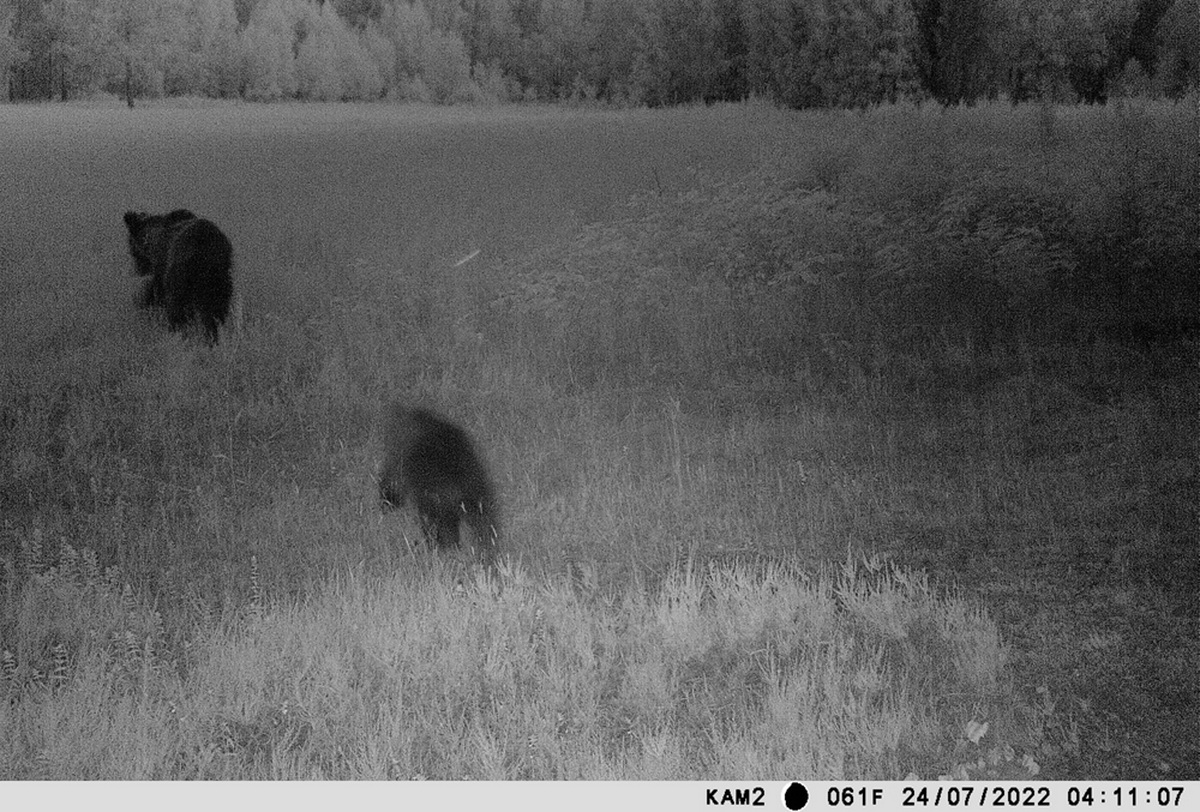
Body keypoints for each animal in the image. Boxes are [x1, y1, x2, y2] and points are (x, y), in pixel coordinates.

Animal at [123, 207, 232, 343]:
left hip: (181, 277)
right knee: (217, 310)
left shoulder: (161, 274)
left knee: (178, 309)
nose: (138, 268)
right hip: (220, 279)